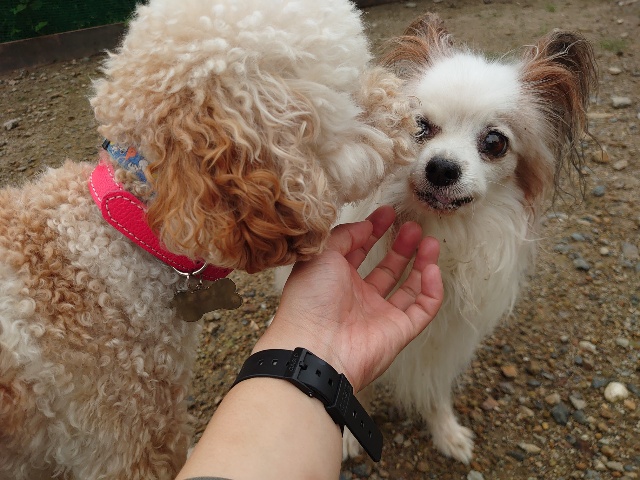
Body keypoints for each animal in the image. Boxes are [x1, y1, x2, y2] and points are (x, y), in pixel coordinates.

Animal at [277, 13, 597, 464]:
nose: (442, 168)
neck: (441, 232)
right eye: (419, 126)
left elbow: (435, 388)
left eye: (495, 142)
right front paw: (346, 436)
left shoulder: (444, 340)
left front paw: (446, 432)